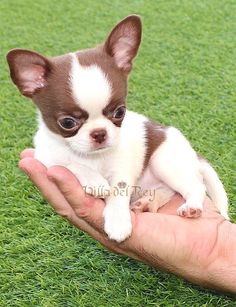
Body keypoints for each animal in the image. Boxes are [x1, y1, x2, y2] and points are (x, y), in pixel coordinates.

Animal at [6, 15, 229, 243]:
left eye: (120, 112)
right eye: (67, 123)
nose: (99, 133)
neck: (93, 157)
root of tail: (193, 154)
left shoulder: (122, 168)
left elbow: (118, 190)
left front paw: (118, 221)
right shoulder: (48, 160)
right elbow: (71, 164)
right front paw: (95, 181)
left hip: (164, 161)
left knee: (196, 186)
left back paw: (191, 206)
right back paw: (148, 202)